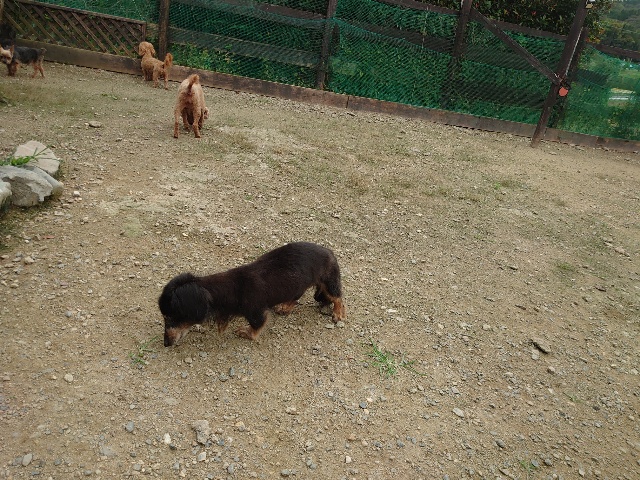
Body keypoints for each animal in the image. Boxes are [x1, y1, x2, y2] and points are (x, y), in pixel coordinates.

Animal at [159, 242, 346, 346]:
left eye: (170, 317)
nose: (166, 344)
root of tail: (329, 251)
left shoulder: (256, 312)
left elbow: (256, 327)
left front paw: (246, 333)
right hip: (296, 285)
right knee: (295, 297)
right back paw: (285, 307)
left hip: (328, 282)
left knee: (338, 297)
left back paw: (338, 313)